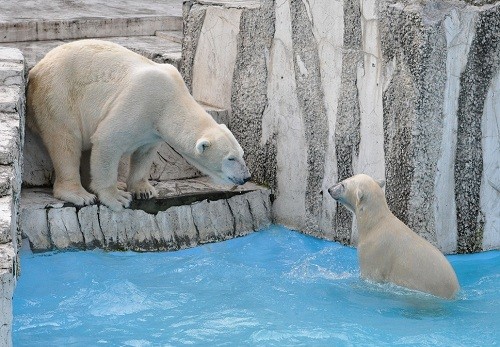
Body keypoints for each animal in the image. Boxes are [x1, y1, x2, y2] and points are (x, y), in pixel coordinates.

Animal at [27, 39, 250, 211]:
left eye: (242, 154)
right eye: (230, 158)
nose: (246, 176)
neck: (171, 100)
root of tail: (38, 67)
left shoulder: (152, 128)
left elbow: (144, 152)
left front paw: (143, 190)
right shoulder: (140, 100)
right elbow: (107, 140)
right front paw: (117, 198)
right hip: (57, 95)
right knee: (65, 141)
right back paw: (80, 194)